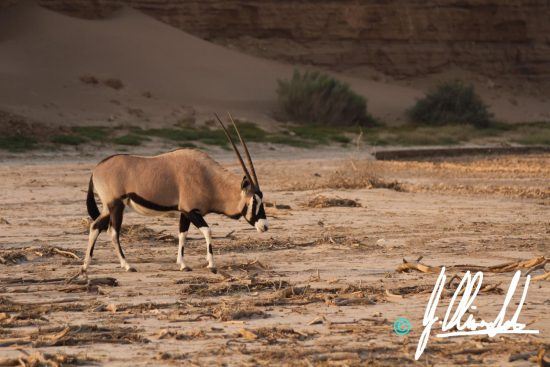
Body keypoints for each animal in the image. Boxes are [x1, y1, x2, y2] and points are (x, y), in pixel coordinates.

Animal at [82, 114, 270, 274]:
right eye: (254, 201)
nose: (265, 226)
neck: (208, 178)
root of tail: (96, 169)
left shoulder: (184, 212)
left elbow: (182, 234)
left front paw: (182, 264)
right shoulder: (191, 211)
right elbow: (207, 231)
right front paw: (211, 264)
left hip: (109, 207)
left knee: (95, 226)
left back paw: (85, 265)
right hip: (116, 205)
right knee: (113, 232)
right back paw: (127, 265)